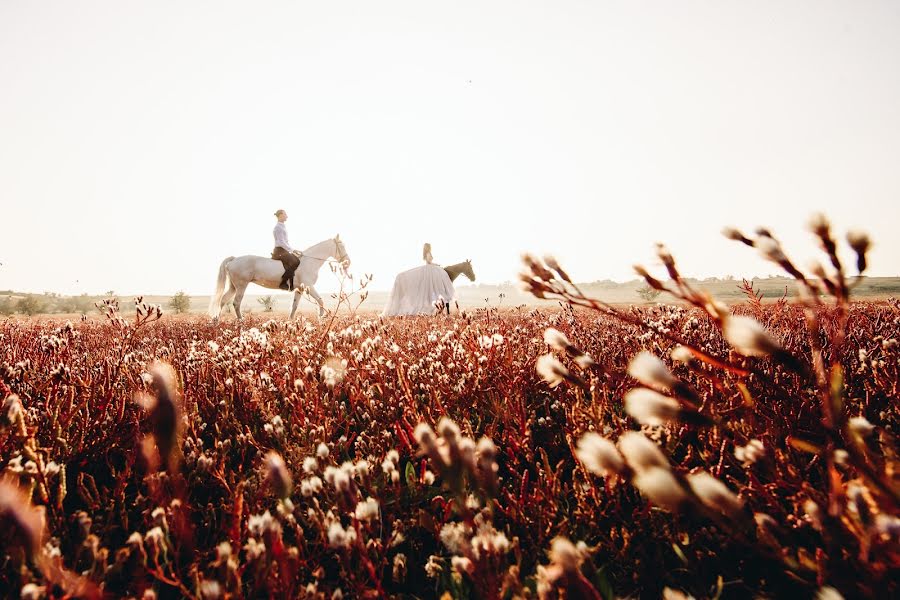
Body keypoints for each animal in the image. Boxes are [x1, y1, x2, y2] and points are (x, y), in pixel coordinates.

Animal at [209, 236, 350, 322]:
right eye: (341, 246)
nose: (348, 262)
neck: (310, 261)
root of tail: (233, 260)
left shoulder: (299, 289)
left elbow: (294, 307)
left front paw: (290, 322)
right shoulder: (308, 286)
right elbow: (320, 301)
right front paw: (321, 319)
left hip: (233, 286)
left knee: (223, 300)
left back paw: (217, 321)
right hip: (241, 286)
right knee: (236, 303)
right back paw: (241, 322)